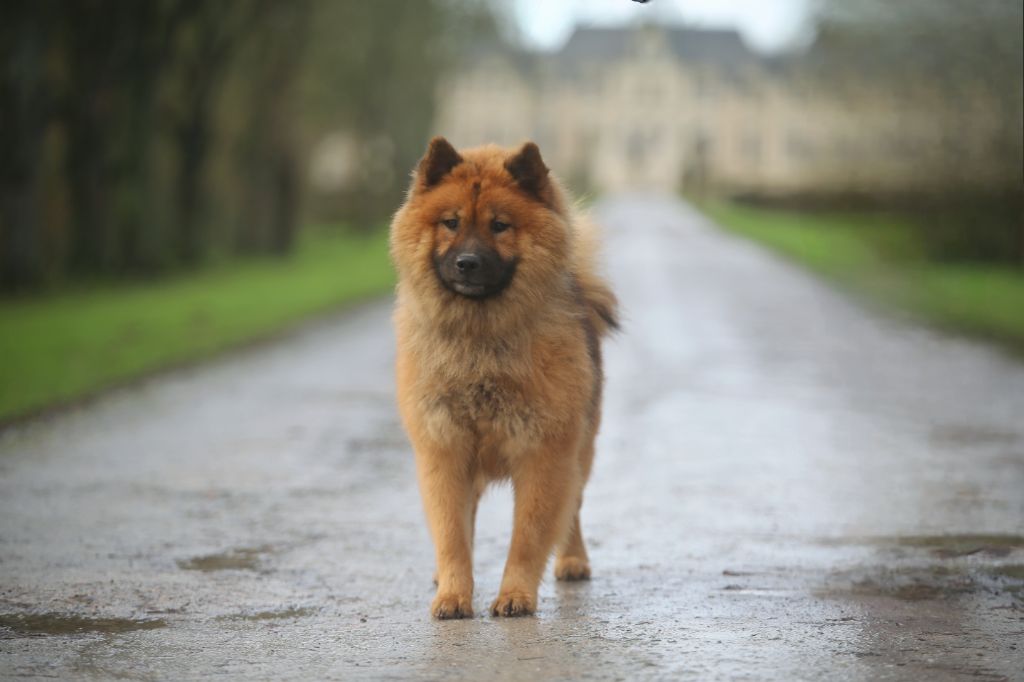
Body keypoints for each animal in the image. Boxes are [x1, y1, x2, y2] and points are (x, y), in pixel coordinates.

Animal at [389, 137, 614, 614]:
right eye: (451, 223)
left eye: (499, 225)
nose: (467, 263)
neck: (482, 343)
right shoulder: (444, 449)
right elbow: (452, 532)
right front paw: (453, 594)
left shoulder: (544, 452)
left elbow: (528, 535)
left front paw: (515, 595)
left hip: (581, 450)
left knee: (574, 510)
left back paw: (573, 560)